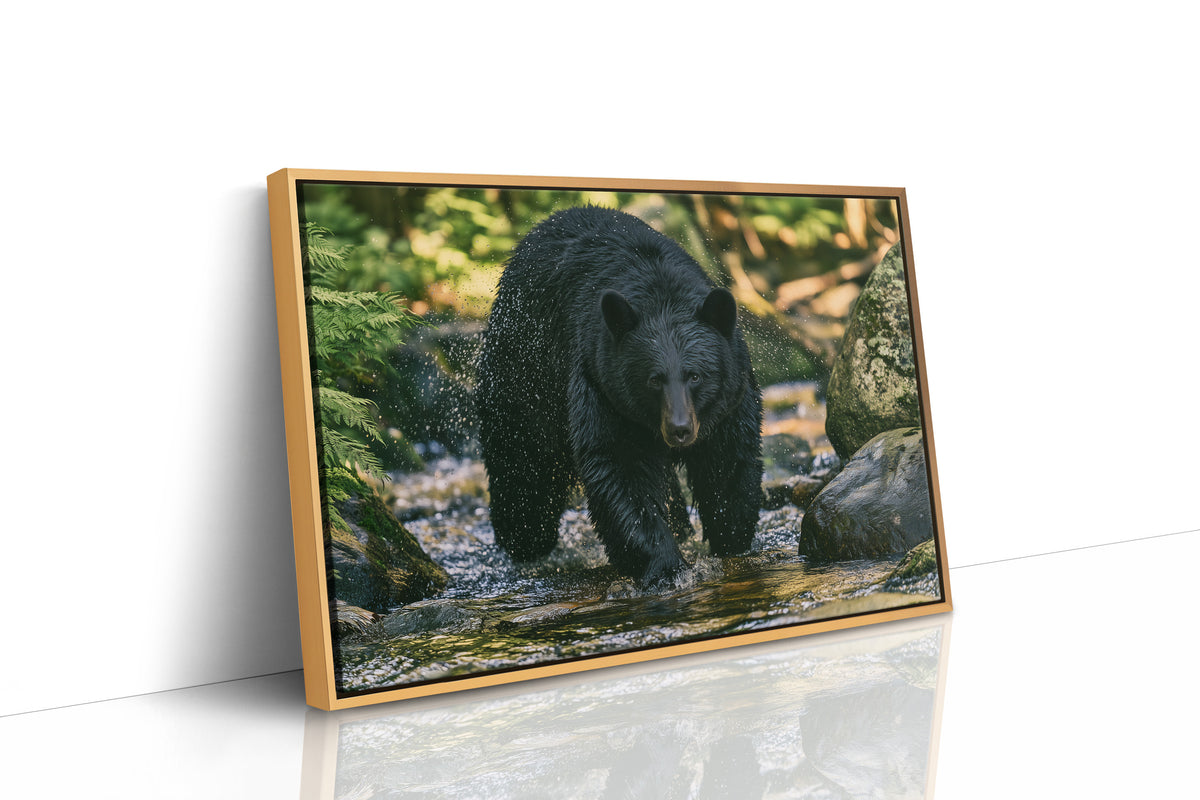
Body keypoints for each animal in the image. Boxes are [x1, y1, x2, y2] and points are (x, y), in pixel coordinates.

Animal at [476, 206, 763, 584]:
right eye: (654, 379)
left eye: (695, 375)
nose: (680, 429)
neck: (660, 291)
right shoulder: (602, 384)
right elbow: (620, 465)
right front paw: (665, 565)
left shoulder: (730, 394)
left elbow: (728, 457)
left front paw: (731, 535)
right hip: (524, 370)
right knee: (521, 458)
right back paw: (525, 541)